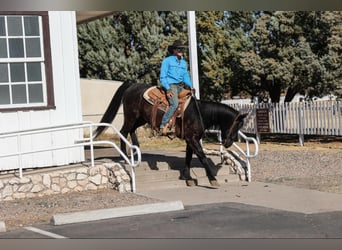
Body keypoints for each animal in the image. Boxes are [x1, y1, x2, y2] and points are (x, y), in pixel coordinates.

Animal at [95, 81, 247, 187]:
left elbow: (188, 158)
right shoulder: (192, 139)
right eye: (236, 125)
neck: (199, 113)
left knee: (131, 131)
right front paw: (212, 179)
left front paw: (187, 177)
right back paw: (125, 156)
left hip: (141, 118)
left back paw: (136, 150)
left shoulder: (190, 140)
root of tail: (132, 85)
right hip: (131, 117)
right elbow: (202, 157)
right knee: (123, 131)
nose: (229, 143)